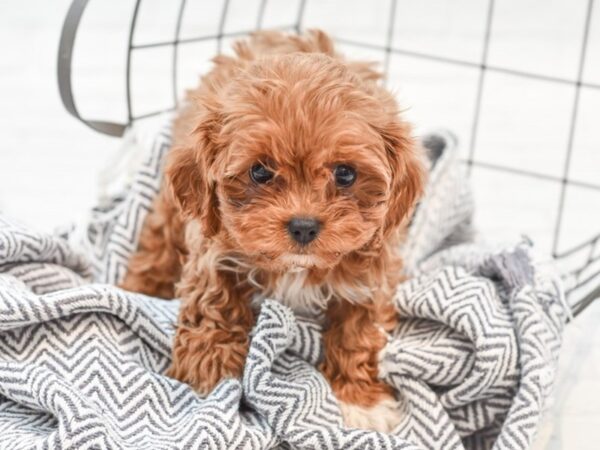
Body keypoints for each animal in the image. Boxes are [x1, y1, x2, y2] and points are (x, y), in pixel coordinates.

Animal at [119, 29, 424, 430]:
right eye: (260, 172)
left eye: (345, 173)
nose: (304, 226)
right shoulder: (212, 252)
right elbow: (213, 311)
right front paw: (209, 383)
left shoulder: (371, 272)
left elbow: (357, 332)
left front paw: (359, 398)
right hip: (174, 210)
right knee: (158, 247)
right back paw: (138, 289)